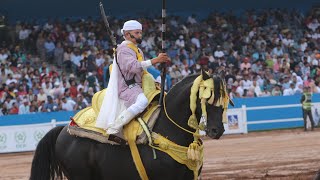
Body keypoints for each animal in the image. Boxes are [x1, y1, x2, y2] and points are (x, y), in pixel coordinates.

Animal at [30, 71, 228, 179]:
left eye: (224, 100)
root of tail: (65, 128)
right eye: (207, 99)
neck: (168, 129)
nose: (216, 130)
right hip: (80, 176)